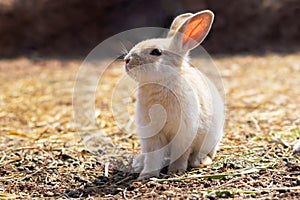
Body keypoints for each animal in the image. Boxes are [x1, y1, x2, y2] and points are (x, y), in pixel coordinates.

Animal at [123, 10, 224, 180]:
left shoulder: (184, 132)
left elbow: (180, 153)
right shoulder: (152, 135)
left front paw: (176, 170)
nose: (127, 60)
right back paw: (138, 164)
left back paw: (201, 161)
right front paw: (146, 175)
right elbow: (153, 157)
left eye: (156, 52)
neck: (162, 83)